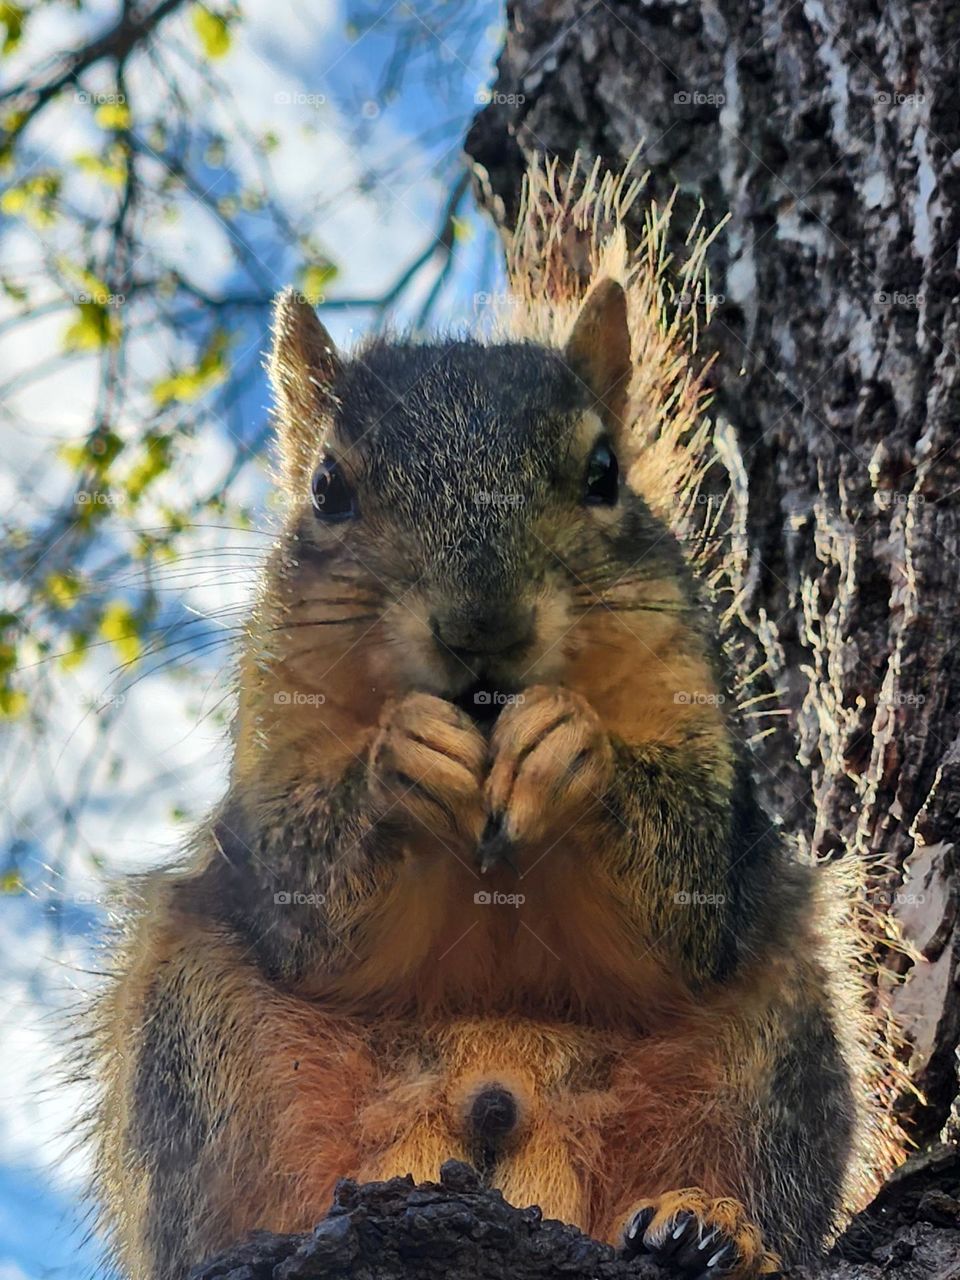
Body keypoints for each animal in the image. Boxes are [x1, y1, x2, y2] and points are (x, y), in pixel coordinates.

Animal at [85, 163, 899, 1280]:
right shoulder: (274, 731)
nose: (483, 628)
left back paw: (709, 1225)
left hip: (775, 1032)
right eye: (327, 489)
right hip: (199, 1029)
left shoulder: (690, 702)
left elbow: (680, 892)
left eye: (605, 474)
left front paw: (571, 746)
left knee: (748, 1154)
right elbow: (310, 905)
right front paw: (402, 759)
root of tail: (496, 1109)